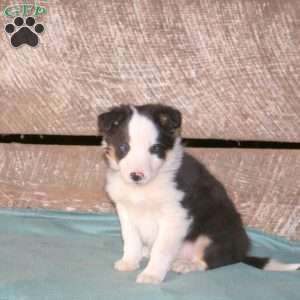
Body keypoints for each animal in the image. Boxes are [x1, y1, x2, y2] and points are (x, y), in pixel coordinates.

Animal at [98, 103, 300, 284]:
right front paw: (129, 262)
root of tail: (242, 252)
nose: (136, 176)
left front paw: (152, 275)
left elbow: (161, 250)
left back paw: (187, 265)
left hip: (213, 235)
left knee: (217, 259)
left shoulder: (176, 216)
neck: (143, 188)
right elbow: (131, 240)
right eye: (124, 147)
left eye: (155, 148)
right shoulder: (126, 211)